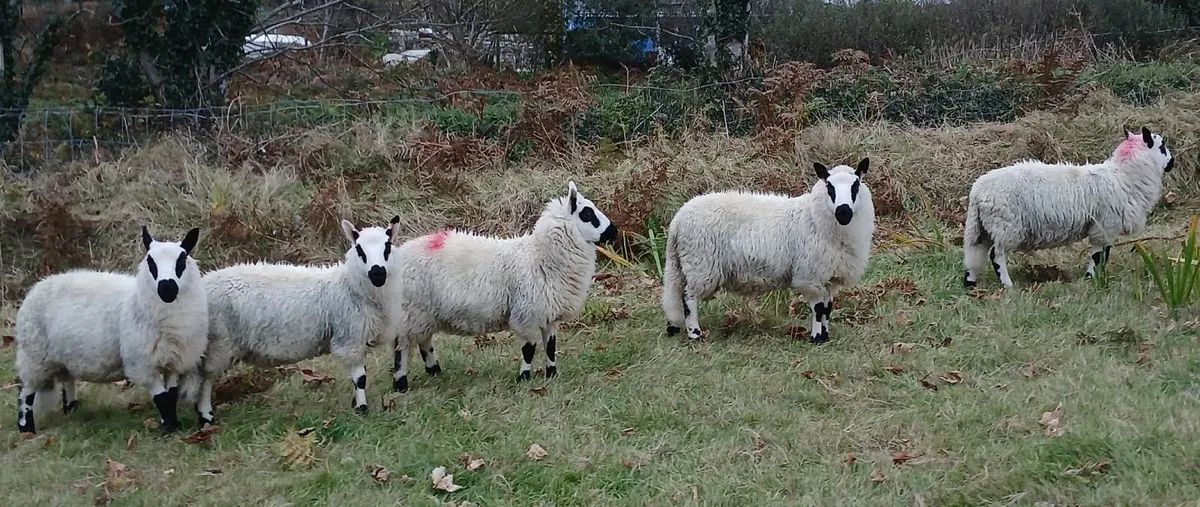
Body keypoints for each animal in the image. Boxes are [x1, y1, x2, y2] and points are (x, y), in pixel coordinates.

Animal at [14, 227, 206, 434]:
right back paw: (26, 429)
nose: (167, 288)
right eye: (150, 262)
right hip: (34, 355)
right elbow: (162, 398)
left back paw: (72, 410)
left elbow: (170, 395)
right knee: (25, 391)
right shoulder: (142, 363)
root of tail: (38, 285)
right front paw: (169, 427)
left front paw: (174, 425)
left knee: (67, 381)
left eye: (182, 259)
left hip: (60, 357)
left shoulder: (173, 360)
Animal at [192, 216, 399, 425]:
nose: (377, 273)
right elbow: (360, 378)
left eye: (388, 246)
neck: (349, 287)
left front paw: (356, 403)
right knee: (205, 378)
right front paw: (362, 408)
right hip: (220, 342)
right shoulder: (350, 338)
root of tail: (204, 282)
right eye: (359, 249)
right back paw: (206, 416)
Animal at [386, 181, 617, 387]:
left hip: (424, 314)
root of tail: (399, 253)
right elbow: (529, 349)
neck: (540, 256)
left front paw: (552, 373)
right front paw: (524, 378)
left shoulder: (547, 315)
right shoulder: (526, 315)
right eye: (588, 214)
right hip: (409, 311)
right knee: (401, 347)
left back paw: (434, 371)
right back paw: (401, 383)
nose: (614, 232)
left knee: (423, 341)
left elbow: (550, 346)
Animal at [661, 158, 875, 344]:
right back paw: (695, 335)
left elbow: (827, 308)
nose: (843, 212)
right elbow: (818, 308)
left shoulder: (829, 276)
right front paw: (816, 338)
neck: (813, 217)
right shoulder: (810, 275)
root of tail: (678, 219)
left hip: (686, 265)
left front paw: (825, 336)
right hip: (700, 264)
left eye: (856, 185)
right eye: (829, 187)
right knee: (688, 298)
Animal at [962, 127, 1175, 289]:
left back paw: (970, 283)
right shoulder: (1104, 225)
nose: (1172, 163)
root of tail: (977, 191)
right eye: (1162, 146)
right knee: (996, 255)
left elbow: (1104, 254)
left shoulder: (1106, 227)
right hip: (1005, 225)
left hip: (982, 227)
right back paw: (1007, 285)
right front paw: (1091, 278)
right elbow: (1099, 255)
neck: (1124, 176)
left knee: (975, 253)